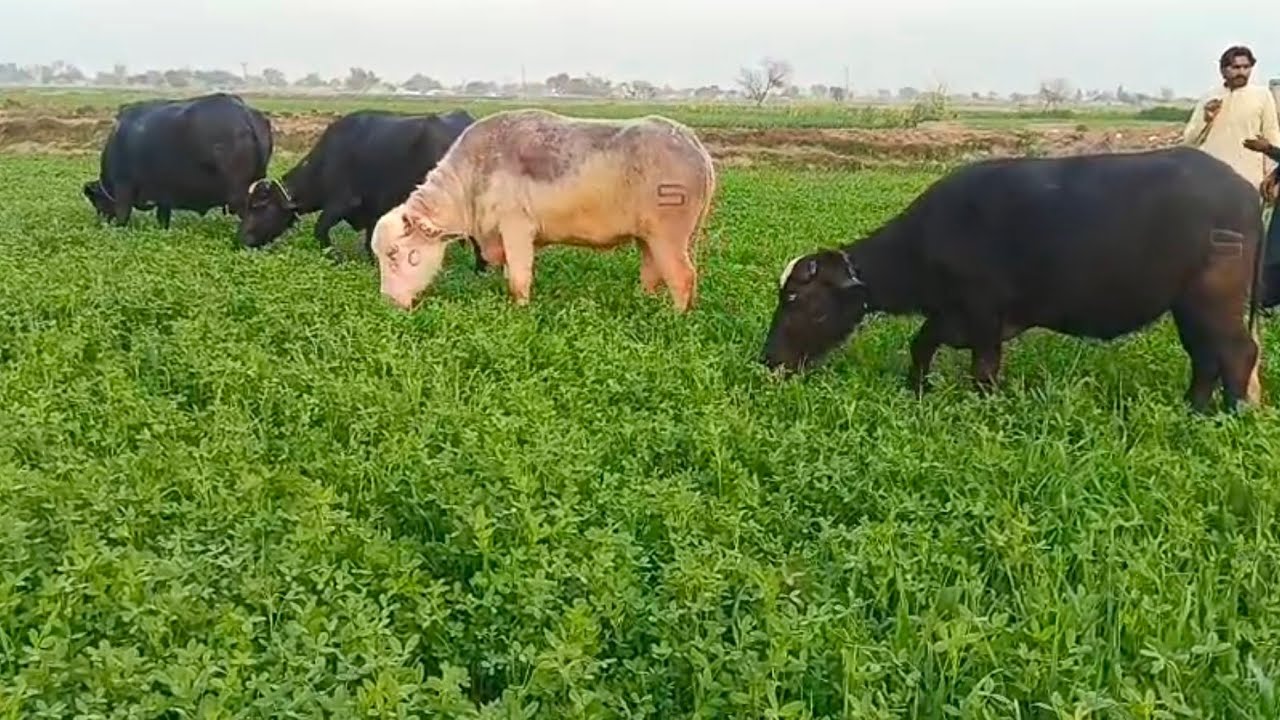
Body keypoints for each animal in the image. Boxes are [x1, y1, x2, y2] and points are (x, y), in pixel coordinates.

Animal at [761, 145, 1266, 413]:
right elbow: (921, 345)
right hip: (1187, 305)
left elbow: (983, 369)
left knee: (1237, 353)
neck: (930, 238)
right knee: (1205, 356)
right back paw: (1193, 410)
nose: (769, 360)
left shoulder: (984, 313)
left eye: (798, 299)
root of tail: (1246, 191)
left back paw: (1232, 416)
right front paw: (917, 389)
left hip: (1213, 300)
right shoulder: (951, 313)